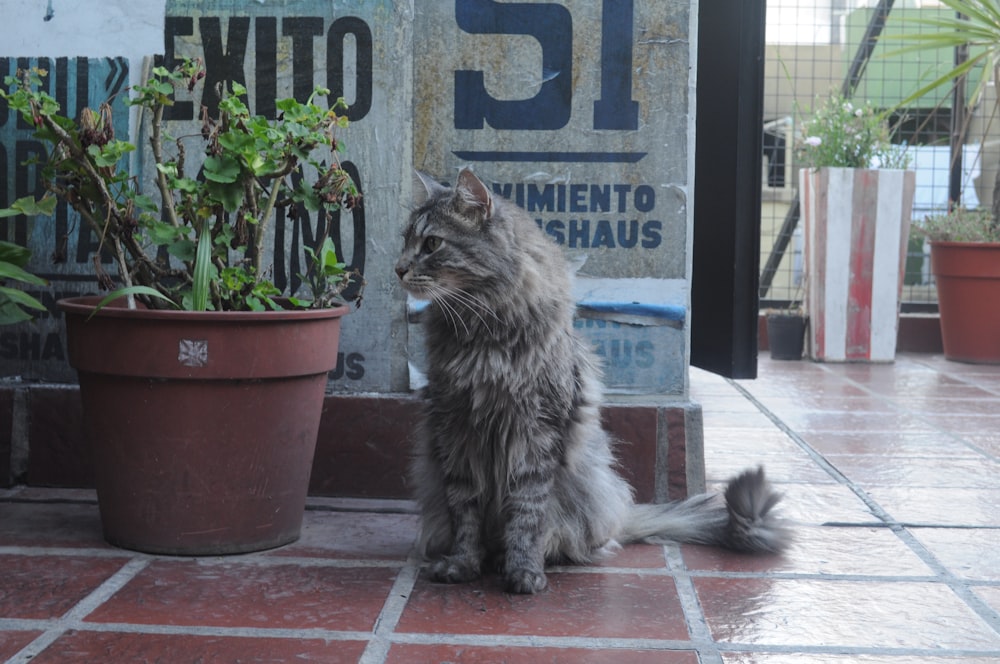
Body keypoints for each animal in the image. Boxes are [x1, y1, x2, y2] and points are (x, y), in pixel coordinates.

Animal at [392, 169, 788, 592]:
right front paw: (462, 564)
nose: (398, 268)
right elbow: (465, 512)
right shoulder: (455, 428)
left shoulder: (537, 433)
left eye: (432, 243)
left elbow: (527, 514)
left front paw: (523, 571)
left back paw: (514, 558)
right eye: (405, 240)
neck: (482, 329)